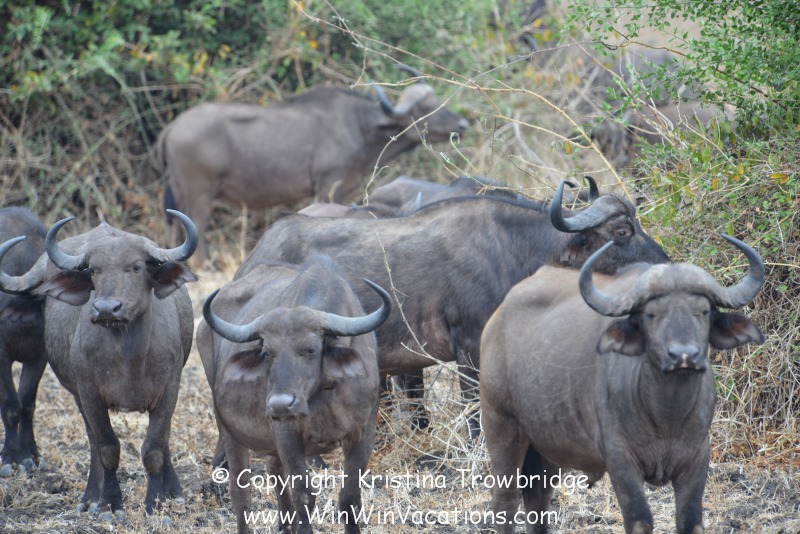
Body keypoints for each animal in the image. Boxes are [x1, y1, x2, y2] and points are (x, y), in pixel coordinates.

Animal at [0, 211, 198, 521]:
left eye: (137, 267)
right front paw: (109, 504)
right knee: (93, 443)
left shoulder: (169, 389)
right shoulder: (89, 394)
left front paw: (156, 504)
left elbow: (154, 448)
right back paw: (91, 497)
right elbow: (107, 448)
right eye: (93, 270)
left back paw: (173, 493)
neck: (130, 356)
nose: (106, 309)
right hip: (77, 394)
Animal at [156, 76, 469, 266]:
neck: (360, 126)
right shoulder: (330, 186)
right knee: (196, 224)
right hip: (199, 193)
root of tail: (173, 127)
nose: (463, 124)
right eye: (426, 108)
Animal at [198, 256, 392, 534]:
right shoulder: (286, 434)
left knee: (273, 469)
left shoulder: (363, 434)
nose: (280, 405)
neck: (323, 395)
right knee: (240, 494)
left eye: (311, 349)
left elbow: (350, 497)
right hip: (228, 428)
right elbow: (304, 496)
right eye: (267, 352)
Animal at [233, 180, 670, 437]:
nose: (662, 264)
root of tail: (258, 252)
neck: (512, 249)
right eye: (622, 231)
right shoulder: (471, 347)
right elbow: (474, 408)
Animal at [480, 236, 764, 534]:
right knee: (505, 501)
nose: (683, 355)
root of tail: (497, 319)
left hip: (549, 447)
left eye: (704, 311)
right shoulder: (620, 459)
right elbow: (640, 519)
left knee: (539, 503)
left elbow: (690, 522)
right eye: (651, 314)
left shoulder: (698, 458)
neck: (666, 417)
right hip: (501, 425)